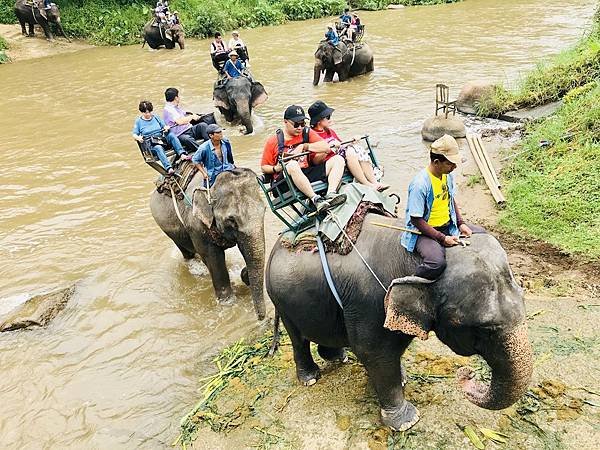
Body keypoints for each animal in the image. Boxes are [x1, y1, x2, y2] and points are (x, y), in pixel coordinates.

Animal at [150, 168, 264, 320]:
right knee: (187, 252)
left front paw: (244, 274)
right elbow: (213, 258)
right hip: (169, 230)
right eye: (231, 220)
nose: (261, 318)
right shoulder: (196, 226)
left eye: (264, 210)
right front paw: (228, 303)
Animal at [268, 216, 536, 430]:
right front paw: (406, 422)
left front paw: (402, 378)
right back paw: (310, 377)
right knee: (298, 339)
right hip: (281, 301)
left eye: (524, 296)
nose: (467, 375)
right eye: (482, 329)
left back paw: (337, 357)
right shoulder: (369, 302)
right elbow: (373, 353)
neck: (413, 258)